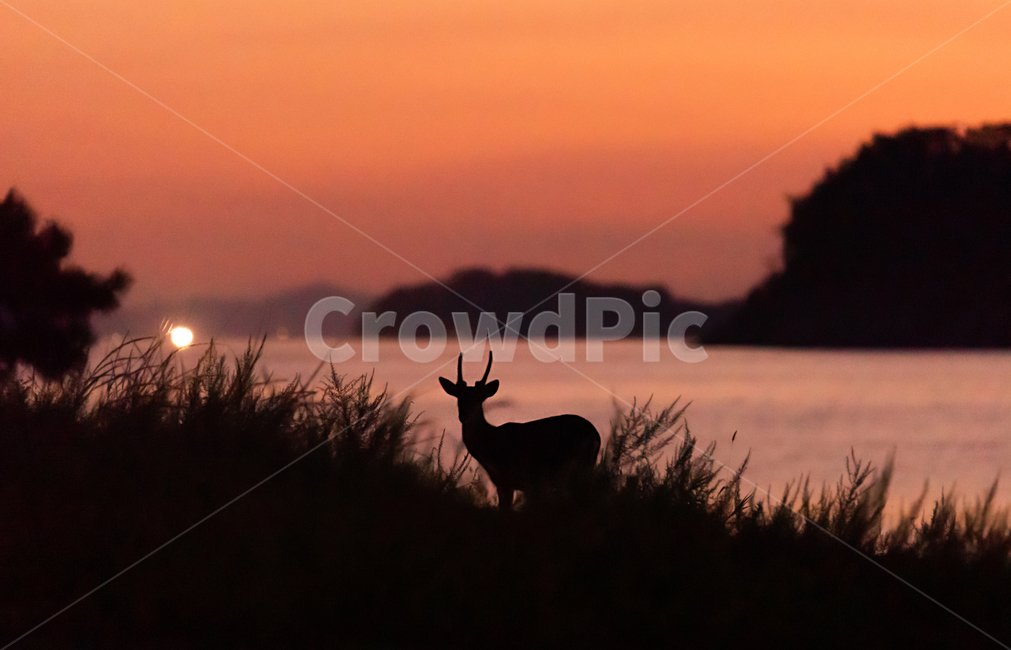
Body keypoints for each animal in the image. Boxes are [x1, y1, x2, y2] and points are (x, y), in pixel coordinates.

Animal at [440, 351, 601, 510]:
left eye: (479, 398)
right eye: (459, 396)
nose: (464, 415)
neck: (491, 441)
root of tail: (596, 435)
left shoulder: (507, 481)